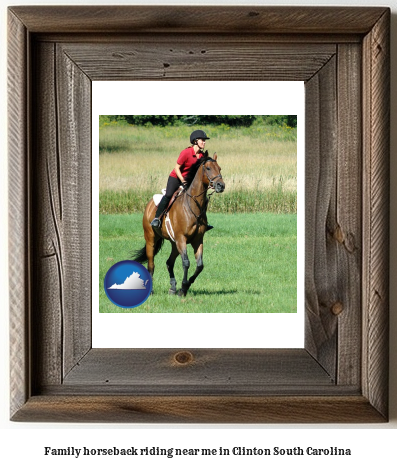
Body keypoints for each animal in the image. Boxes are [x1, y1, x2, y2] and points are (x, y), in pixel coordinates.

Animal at [131, 153, 224, 296]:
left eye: (219, 168)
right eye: (208, 168)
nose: (221, 185)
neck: (193, 206)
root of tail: (149, 205)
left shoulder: (197, 240)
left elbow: (200, 265)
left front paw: (184, 286)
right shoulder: (182, 239)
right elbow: (186, 263)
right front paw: (183, 288)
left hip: (174, 243)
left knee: (169, 262)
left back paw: (173, 288)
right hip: (151, 239)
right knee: (151, 264)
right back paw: (151, 290)